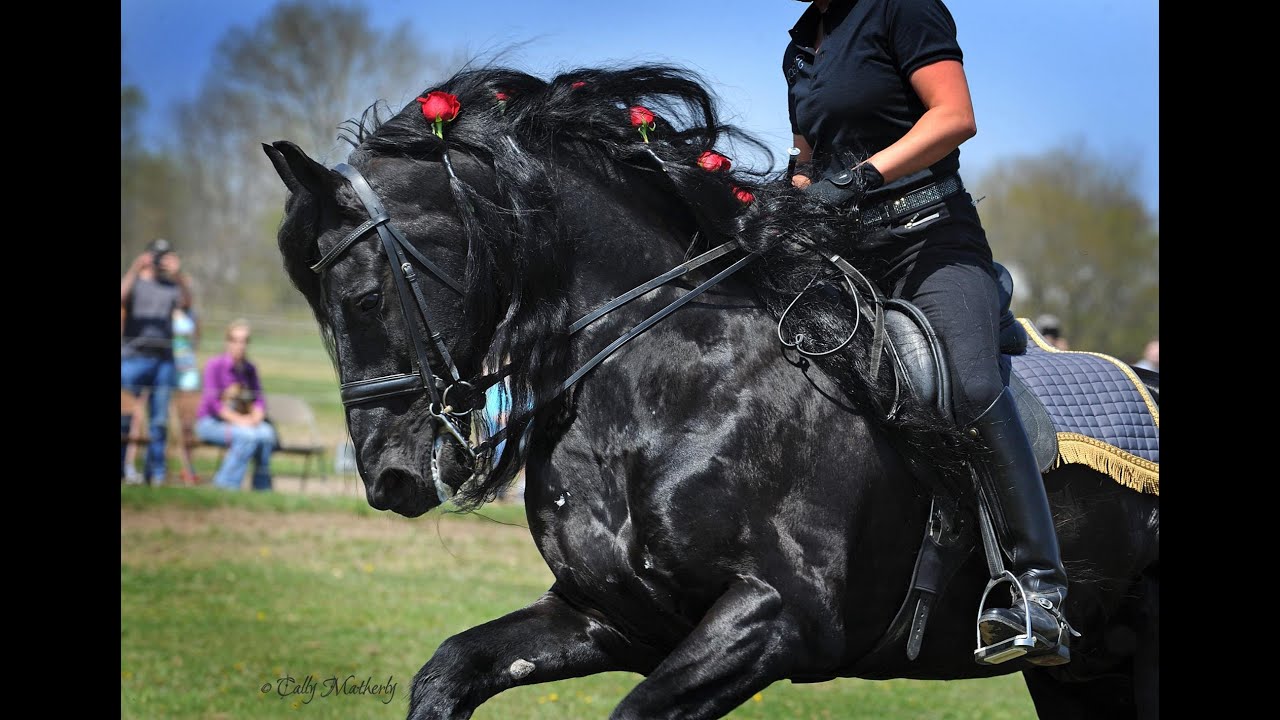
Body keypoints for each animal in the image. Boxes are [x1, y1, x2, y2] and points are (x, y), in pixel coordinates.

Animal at [264, 64, 1159, 720]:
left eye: (364, 298)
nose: (388, 478)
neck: (663, 390)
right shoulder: (610, 616)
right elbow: (446, 671)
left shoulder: (777, 617)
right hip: (1083, 674)